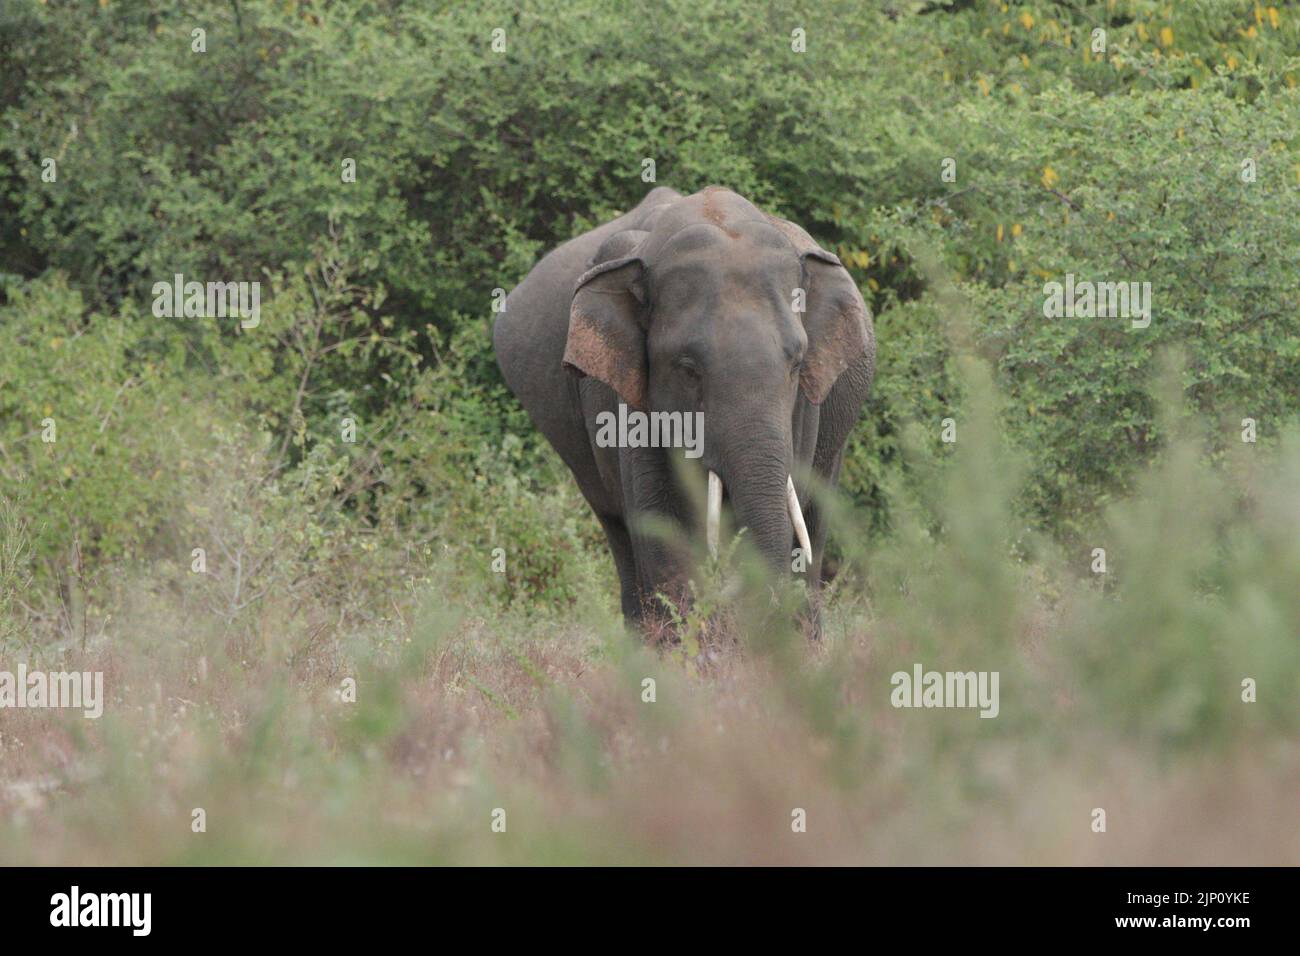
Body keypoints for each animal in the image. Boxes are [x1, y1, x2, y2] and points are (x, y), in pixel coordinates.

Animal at [491, 185, 878, 629]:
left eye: (796, 364)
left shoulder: (804, 407)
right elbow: (661, 525)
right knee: (617, 528)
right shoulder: (622, 394)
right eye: (688, 369)